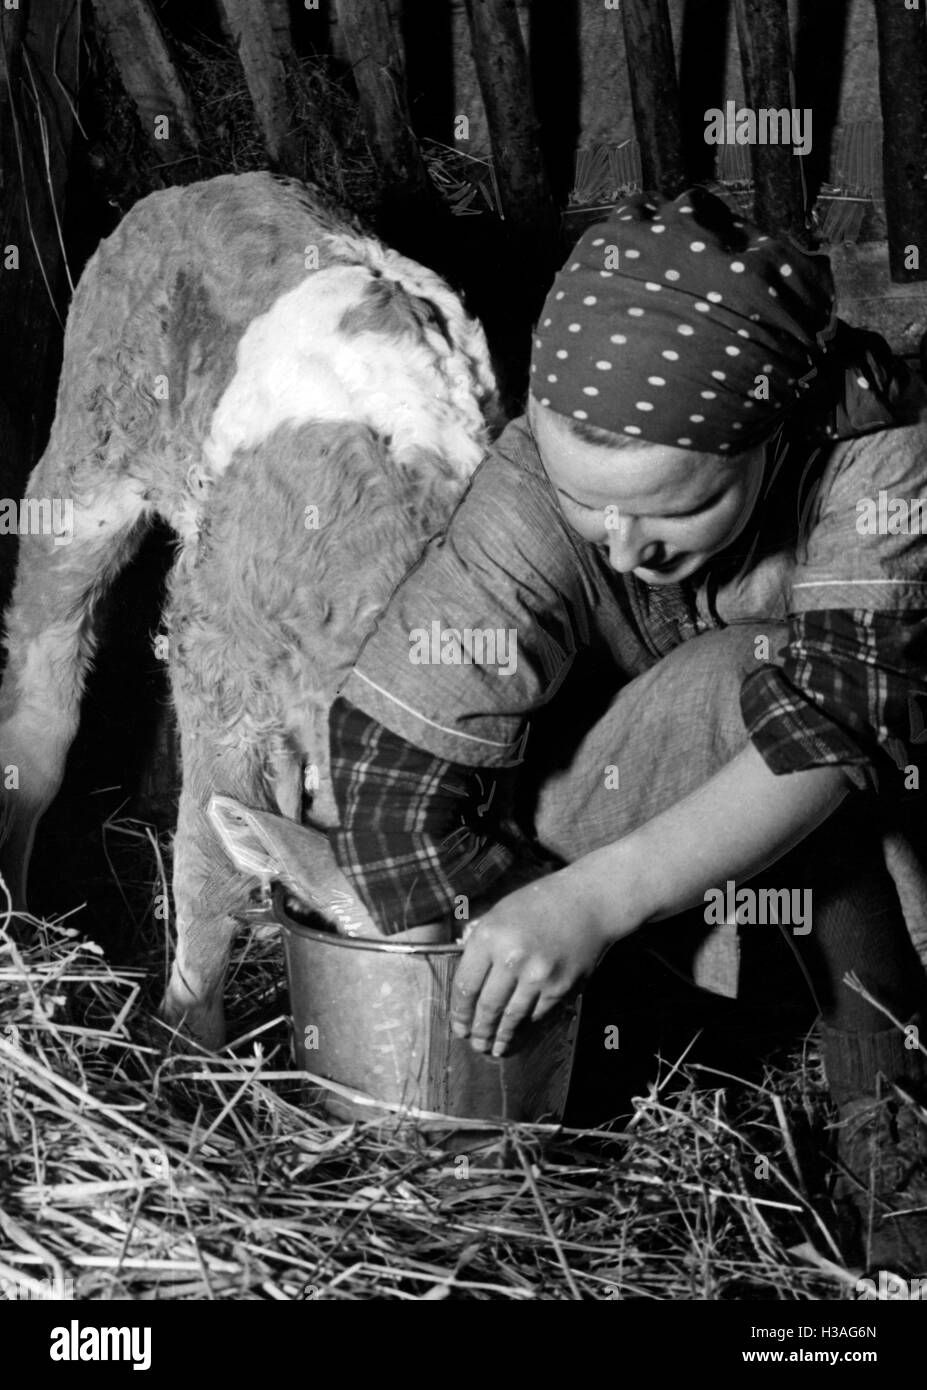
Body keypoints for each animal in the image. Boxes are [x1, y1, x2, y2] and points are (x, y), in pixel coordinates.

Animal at [0, 173, 500, 1045]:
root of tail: (195, 184)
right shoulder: (219, 653)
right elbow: (209, 859)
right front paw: (186, 1039)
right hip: (86, 461)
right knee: (45, 680)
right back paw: (22, 914)